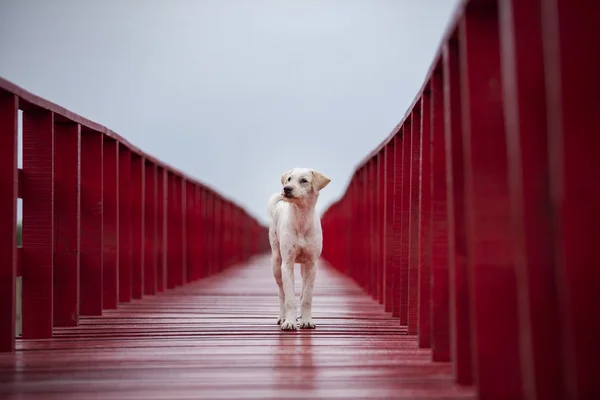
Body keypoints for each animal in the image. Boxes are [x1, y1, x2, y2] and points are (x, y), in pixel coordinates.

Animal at [268, 167, 330, 330]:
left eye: (304, 180)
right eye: (289, 179)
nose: (286, 189)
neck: (301, 217)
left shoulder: (312, 264)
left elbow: (307, 296)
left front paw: (307, 321)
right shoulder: (287, 263)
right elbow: (289, 297)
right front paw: (289, 322)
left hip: (303, 267)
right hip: (276, 263)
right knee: (281, 293)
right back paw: (282, 317)